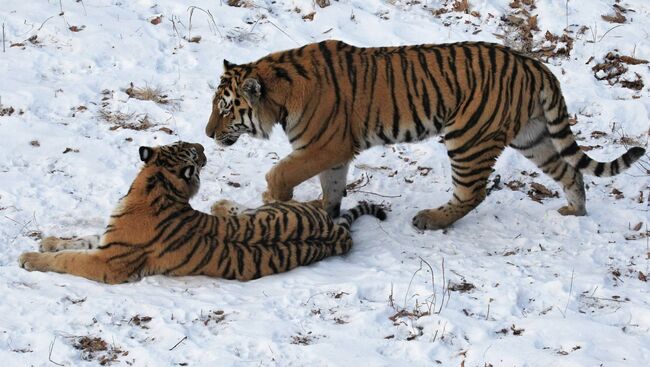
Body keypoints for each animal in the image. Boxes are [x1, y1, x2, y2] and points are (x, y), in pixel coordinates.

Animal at [19, 142, 384, 284]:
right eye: (188, 148)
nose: (205, 147)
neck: (156, 186)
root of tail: (337, 232)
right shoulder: (110, 240)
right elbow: (79, 239)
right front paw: (48, 241)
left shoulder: (109, 262)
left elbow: (69, 259)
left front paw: (30, 258)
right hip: (276, 210)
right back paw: (221, 207)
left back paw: (219, 206)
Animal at [204, 40, 644, 230]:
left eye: (224, 108)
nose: (207, 134)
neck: (279, 93)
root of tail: (535, 64)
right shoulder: (336, 153)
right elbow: (332, 190)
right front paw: (322, 215)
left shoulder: (324, 146)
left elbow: (279, 173)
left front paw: (273, 201)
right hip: (532, 136)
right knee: (571, 172)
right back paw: (575, 212)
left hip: (468, 138)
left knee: (472, 192)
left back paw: (430, 219)